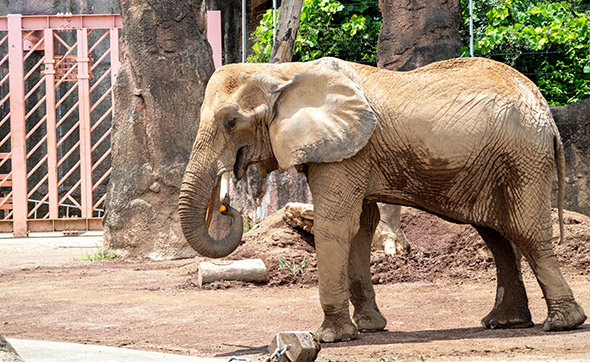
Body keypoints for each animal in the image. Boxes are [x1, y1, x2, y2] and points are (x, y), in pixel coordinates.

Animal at [179, 55, 588, 342]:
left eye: (231, 122)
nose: (227, 206)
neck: (282, 72)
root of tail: (547, 113)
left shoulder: (346, 154)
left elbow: (335, 225)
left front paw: (331, 337)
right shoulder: (349, 151)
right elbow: (361, 226)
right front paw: (369, 328)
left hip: (523, 156)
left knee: (524, 231)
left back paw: (561, 324)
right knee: (497, 234)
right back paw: (503, 323)